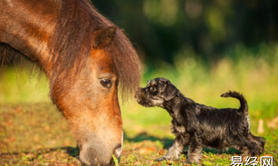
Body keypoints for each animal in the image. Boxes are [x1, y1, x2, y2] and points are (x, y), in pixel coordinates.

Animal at [135, 77, 264, 163]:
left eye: (153, 88)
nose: (136, 94)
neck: (177, 108)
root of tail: (241, 111)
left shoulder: (195, 136)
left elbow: (192, 150)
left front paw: (191, 161)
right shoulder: (181, 136)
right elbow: (174, 148)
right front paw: (166, 158)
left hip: (235, 137)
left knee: (252, 144)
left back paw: (248, 157)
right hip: (244, 134)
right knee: (259, 140)